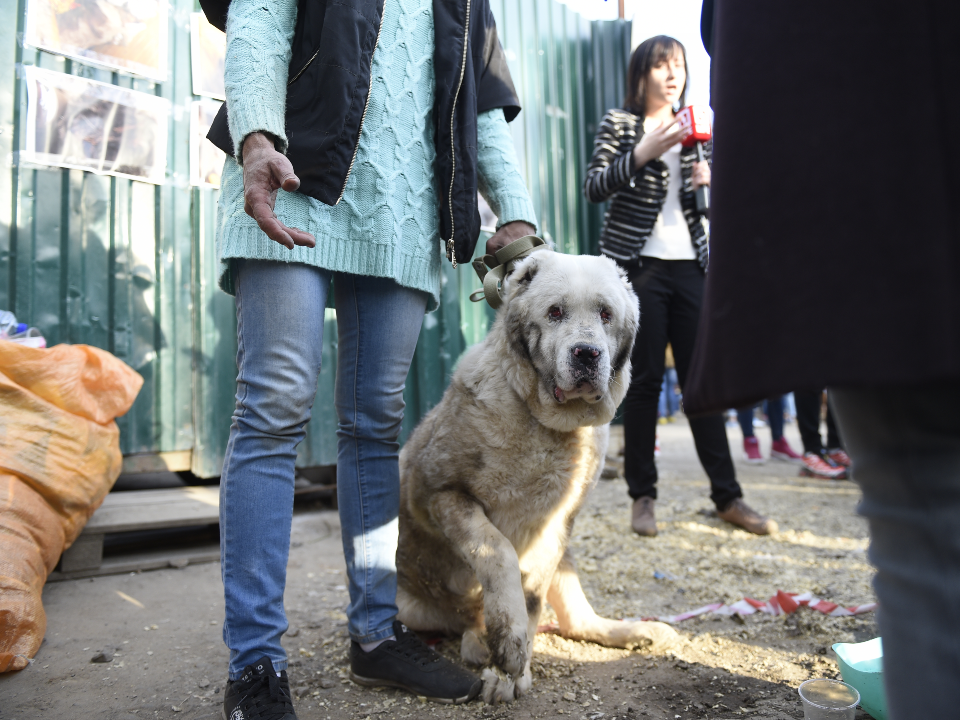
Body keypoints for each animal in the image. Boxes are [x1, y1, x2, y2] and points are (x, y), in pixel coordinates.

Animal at [394, 249, 680, 704]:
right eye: (555, 312)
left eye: (605, 314)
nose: (587, 354)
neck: (545, 425)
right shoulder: (442, 494)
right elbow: (498, 553)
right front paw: (507, 650)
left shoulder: (557, 524)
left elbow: (531, 594)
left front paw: (513, 666)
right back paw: (479, 640)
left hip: (566, 557)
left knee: (577, 622)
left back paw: (639, 632)